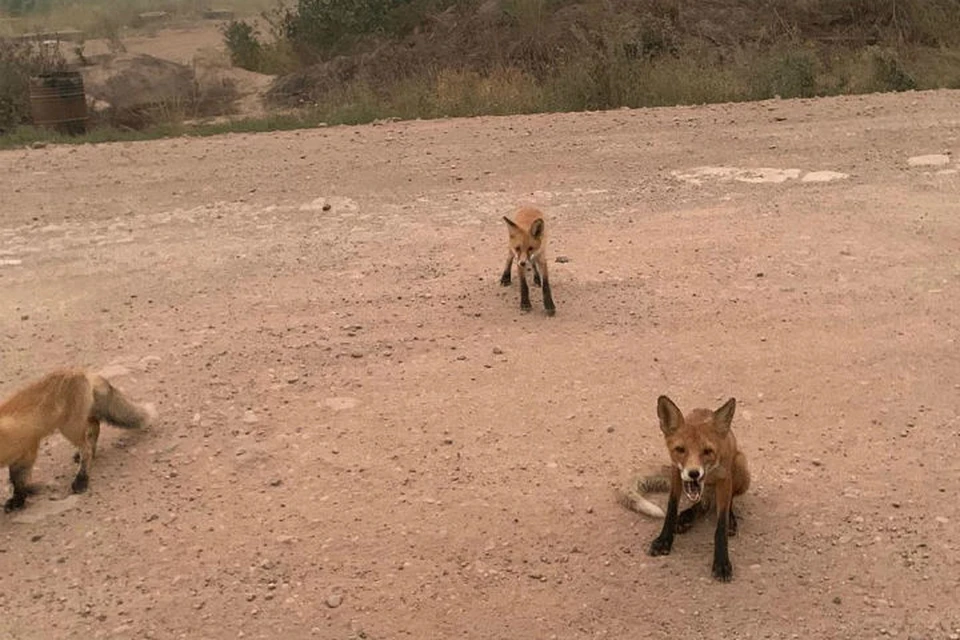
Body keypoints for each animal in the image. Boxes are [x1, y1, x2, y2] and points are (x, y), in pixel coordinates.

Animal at [0, 370, 154, 510]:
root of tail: (81, 371)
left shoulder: (28, 448)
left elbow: (18, 480)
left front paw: (19, 500)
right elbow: (16, 479)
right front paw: (21, 496)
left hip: (70, 428)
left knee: (87, 449)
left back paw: (81, 480)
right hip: (81, 420)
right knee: (95, 427)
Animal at [628, 392, 752, 584]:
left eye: (707, 451)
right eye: (680, 449)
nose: (694, 473)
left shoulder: (725, 478)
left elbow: (720, 526)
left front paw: (721, 562)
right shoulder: (676, 472)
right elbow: (671, 510)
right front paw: (664, 540)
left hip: (740, 464)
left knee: (720, 503)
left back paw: (728, 520)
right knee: (703, 505)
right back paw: (686, 518)